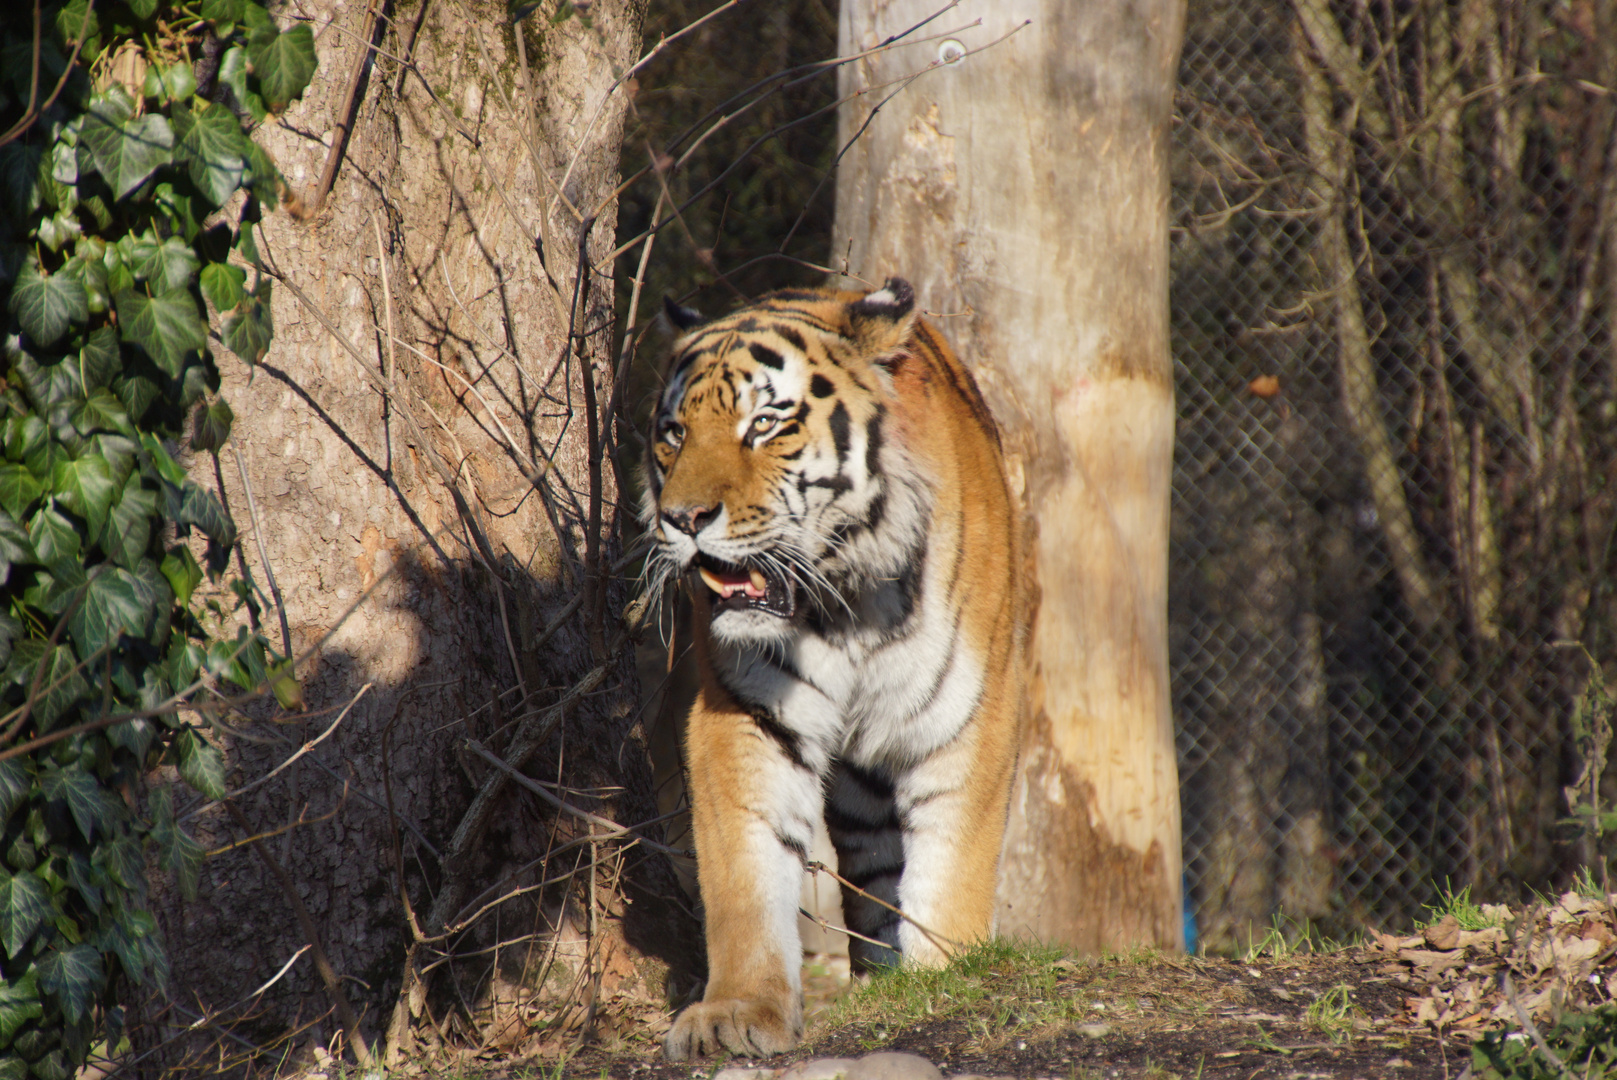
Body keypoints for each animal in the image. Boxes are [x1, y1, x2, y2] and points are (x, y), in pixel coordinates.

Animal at [643, 281, 1021, 1060]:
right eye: (674, 433)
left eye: (763, 424)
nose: (682, 518)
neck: (844, 597)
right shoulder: (745, 712)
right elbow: (746, 864)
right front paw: (735, 1011)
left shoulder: (969, 714)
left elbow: (953, 859)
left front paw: (949, 973)